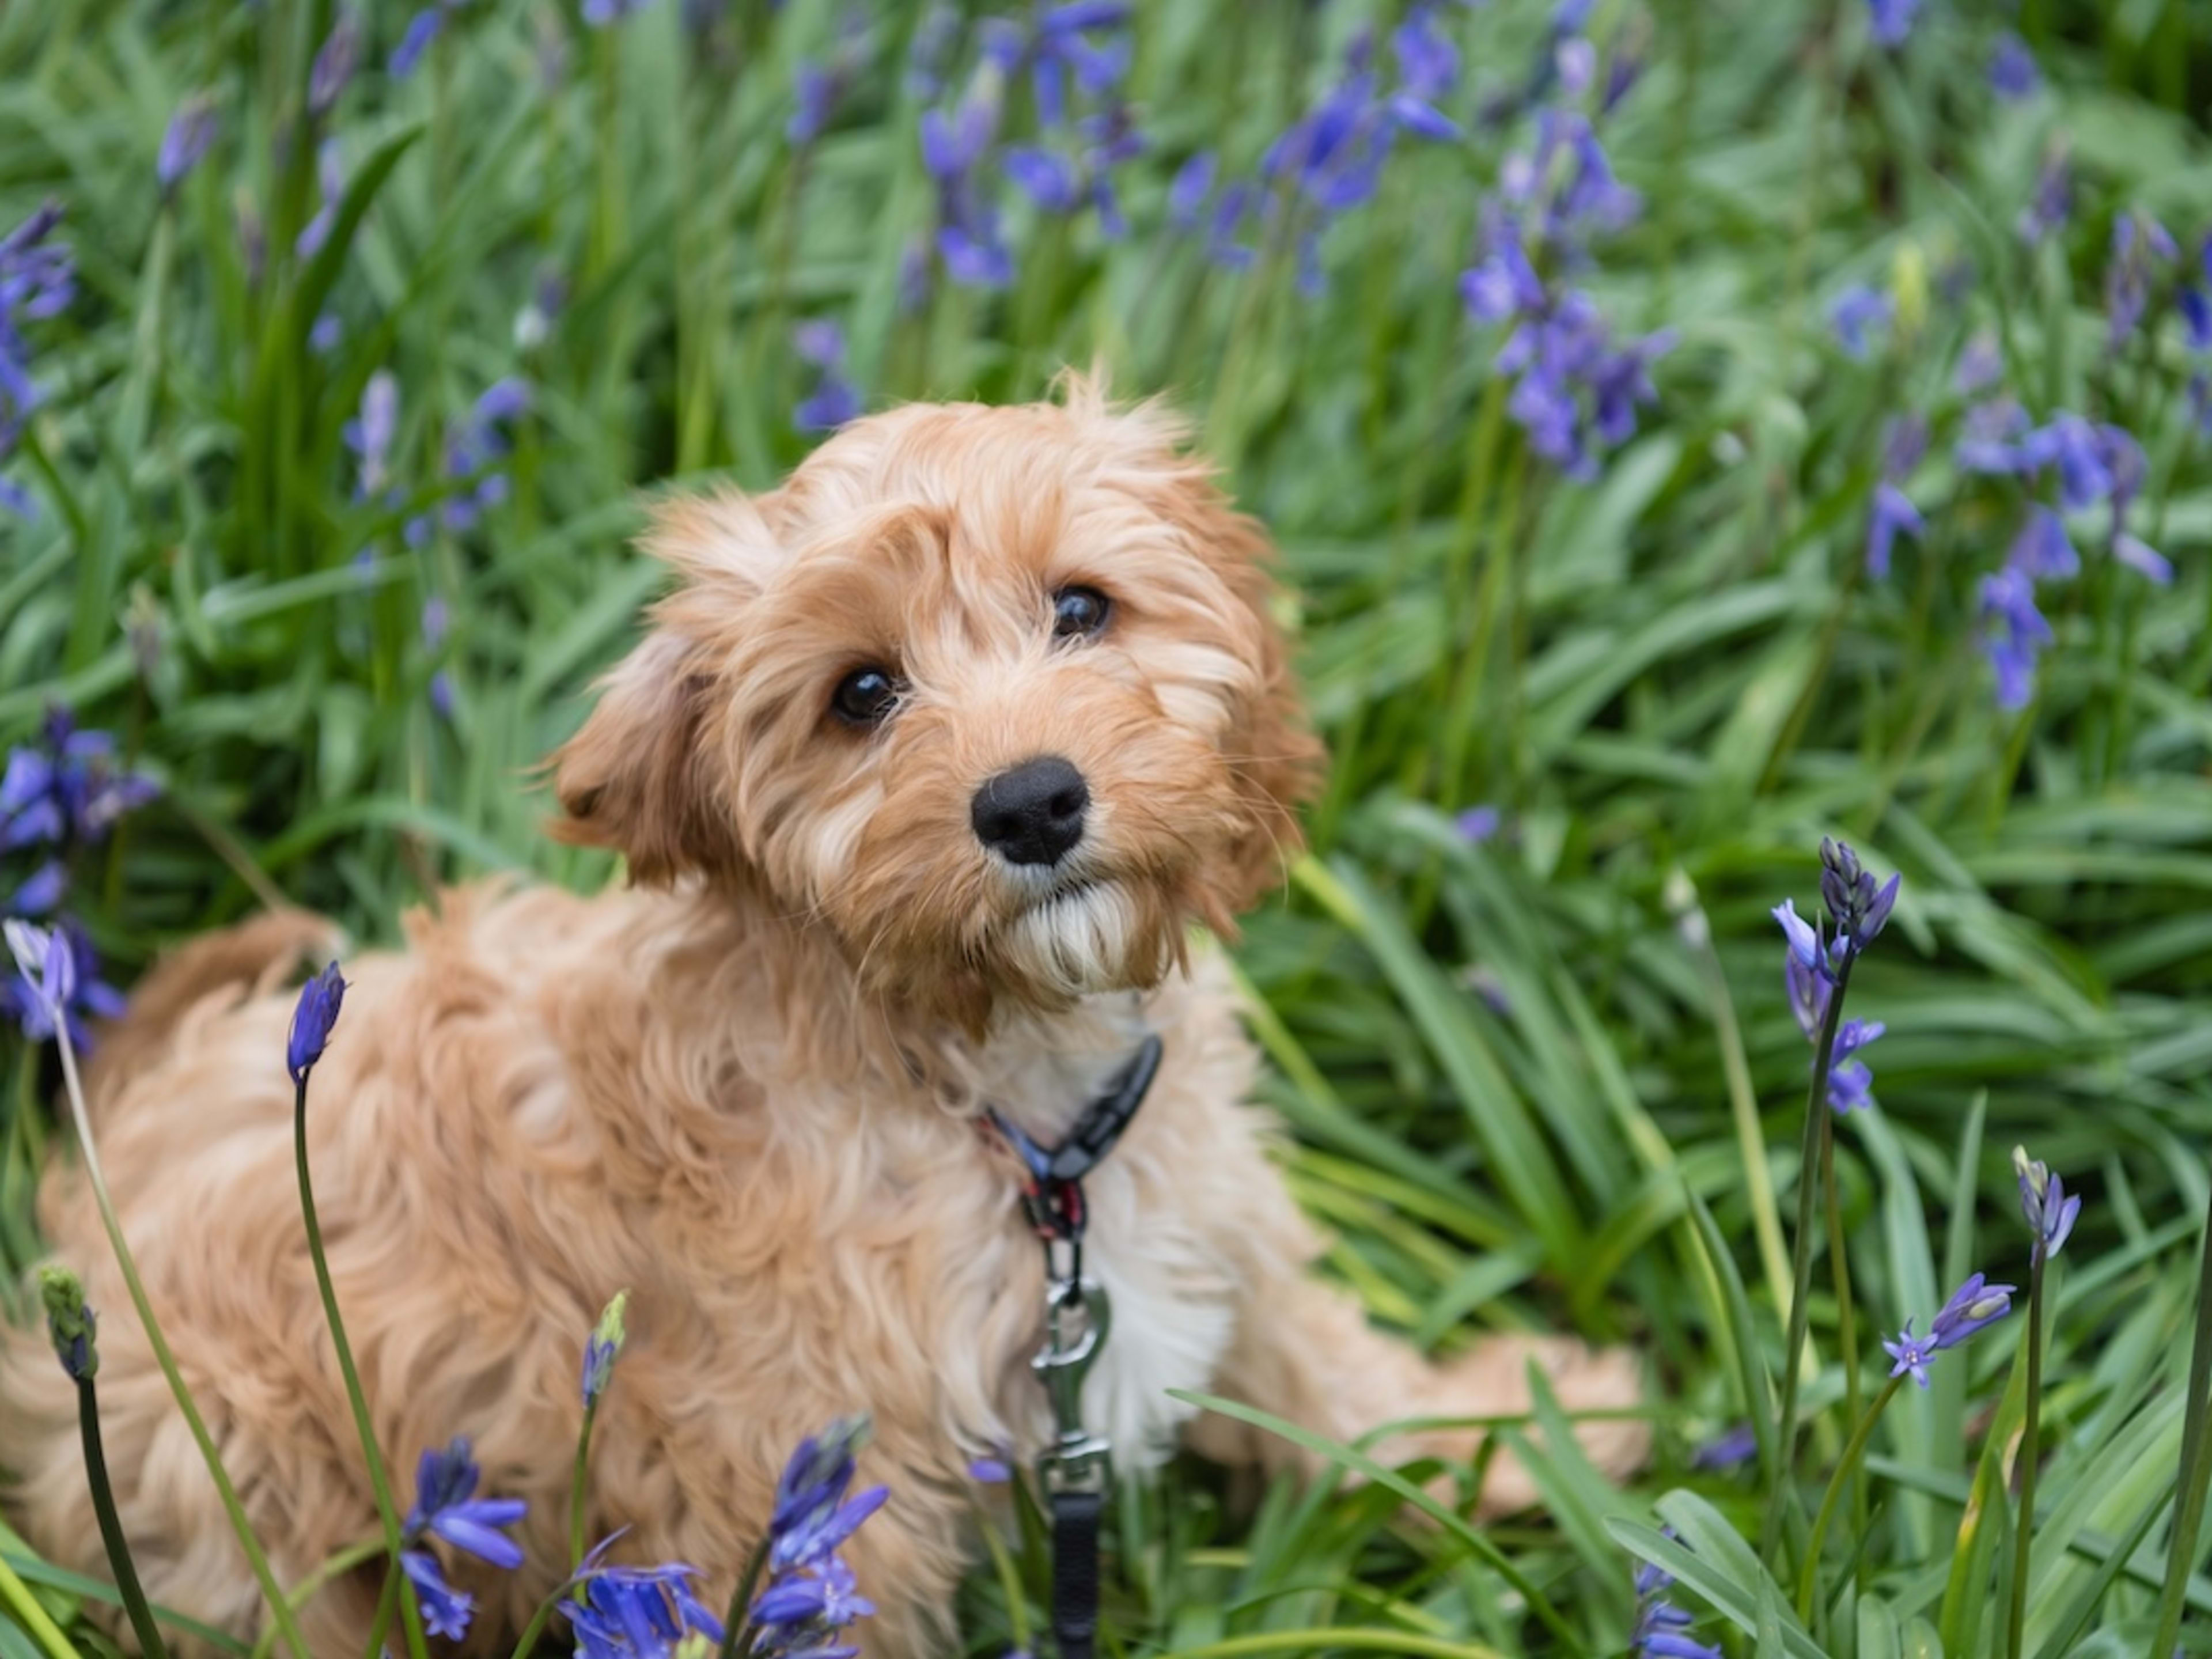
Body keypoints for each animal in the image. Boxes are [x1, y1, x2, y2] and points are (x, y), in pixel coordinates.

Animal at [1, 378, 1644, 1656]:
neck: (1003, 1104)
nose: (1032, 802)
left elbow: (1325, 1367)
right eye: (861, 693)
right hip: (234, 1496)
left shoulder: (1203, 1219)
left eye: (1081, 609)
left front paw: (1524, 1435)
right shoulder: (807, 1504)